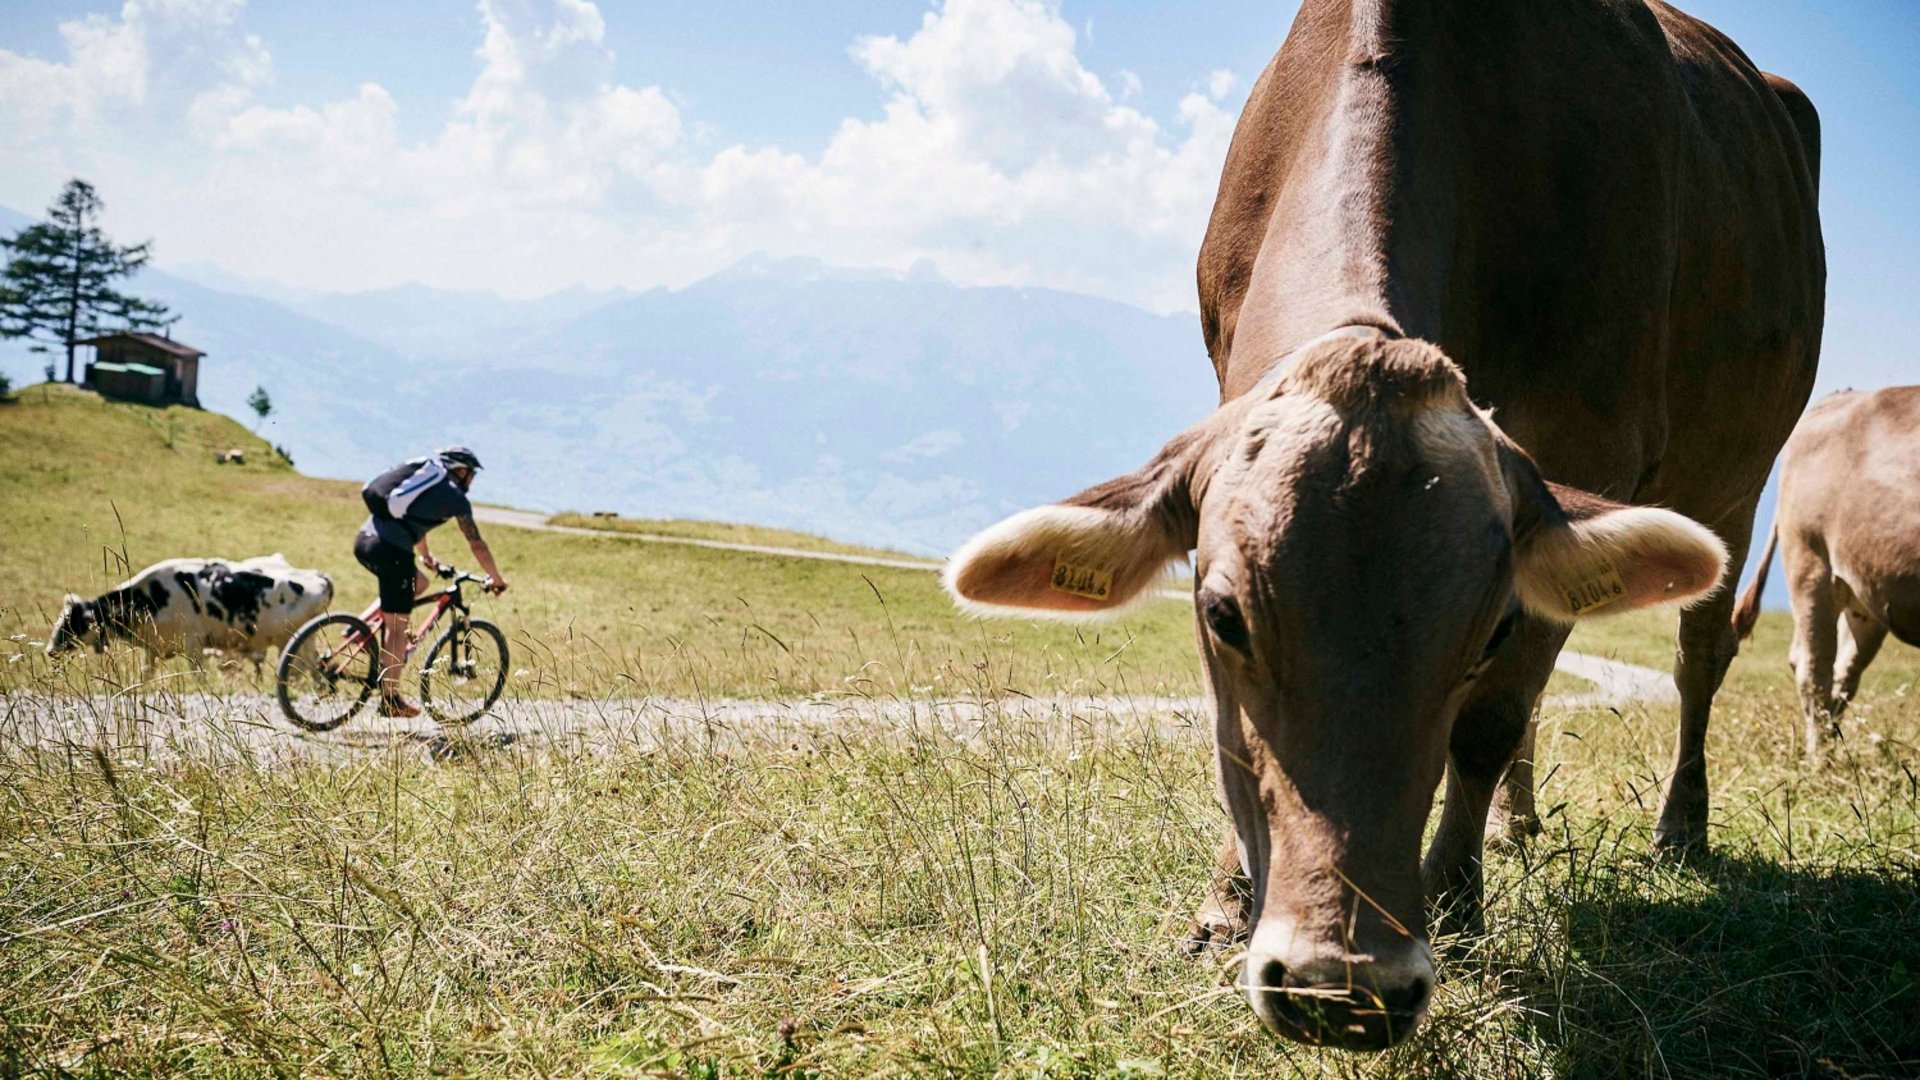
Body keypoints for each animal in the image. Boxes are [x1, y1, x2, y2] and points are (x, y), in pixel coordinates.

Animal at [48, 554, 333, 670]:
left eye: (71, 623)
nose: (50, 650)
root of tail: (318, 576)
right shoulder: (154, 647)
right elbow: (145, 675)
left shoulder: (194, 644)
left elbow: (198, 677)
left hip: (291, 640)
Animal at [945, 0, 1822, 1050]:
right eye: (1221, 616)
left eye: (1484, 631)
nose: (1345, 985)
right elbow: (1238, 740)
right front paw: (1225, 906)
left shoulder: (1596, 451)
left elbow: (1488, 721)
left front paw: (1456, 904)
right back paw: (1518, 825)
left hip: (1737, 479)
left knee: (1695, 656)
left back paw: (1677, 828)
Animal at [1732, 386, 1920, 759]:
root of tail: (1841, 395)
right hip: (1811, 561)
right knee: (1813, 666)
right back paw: (1820, 761)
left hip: (1866, 589)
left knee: (1843, 671)